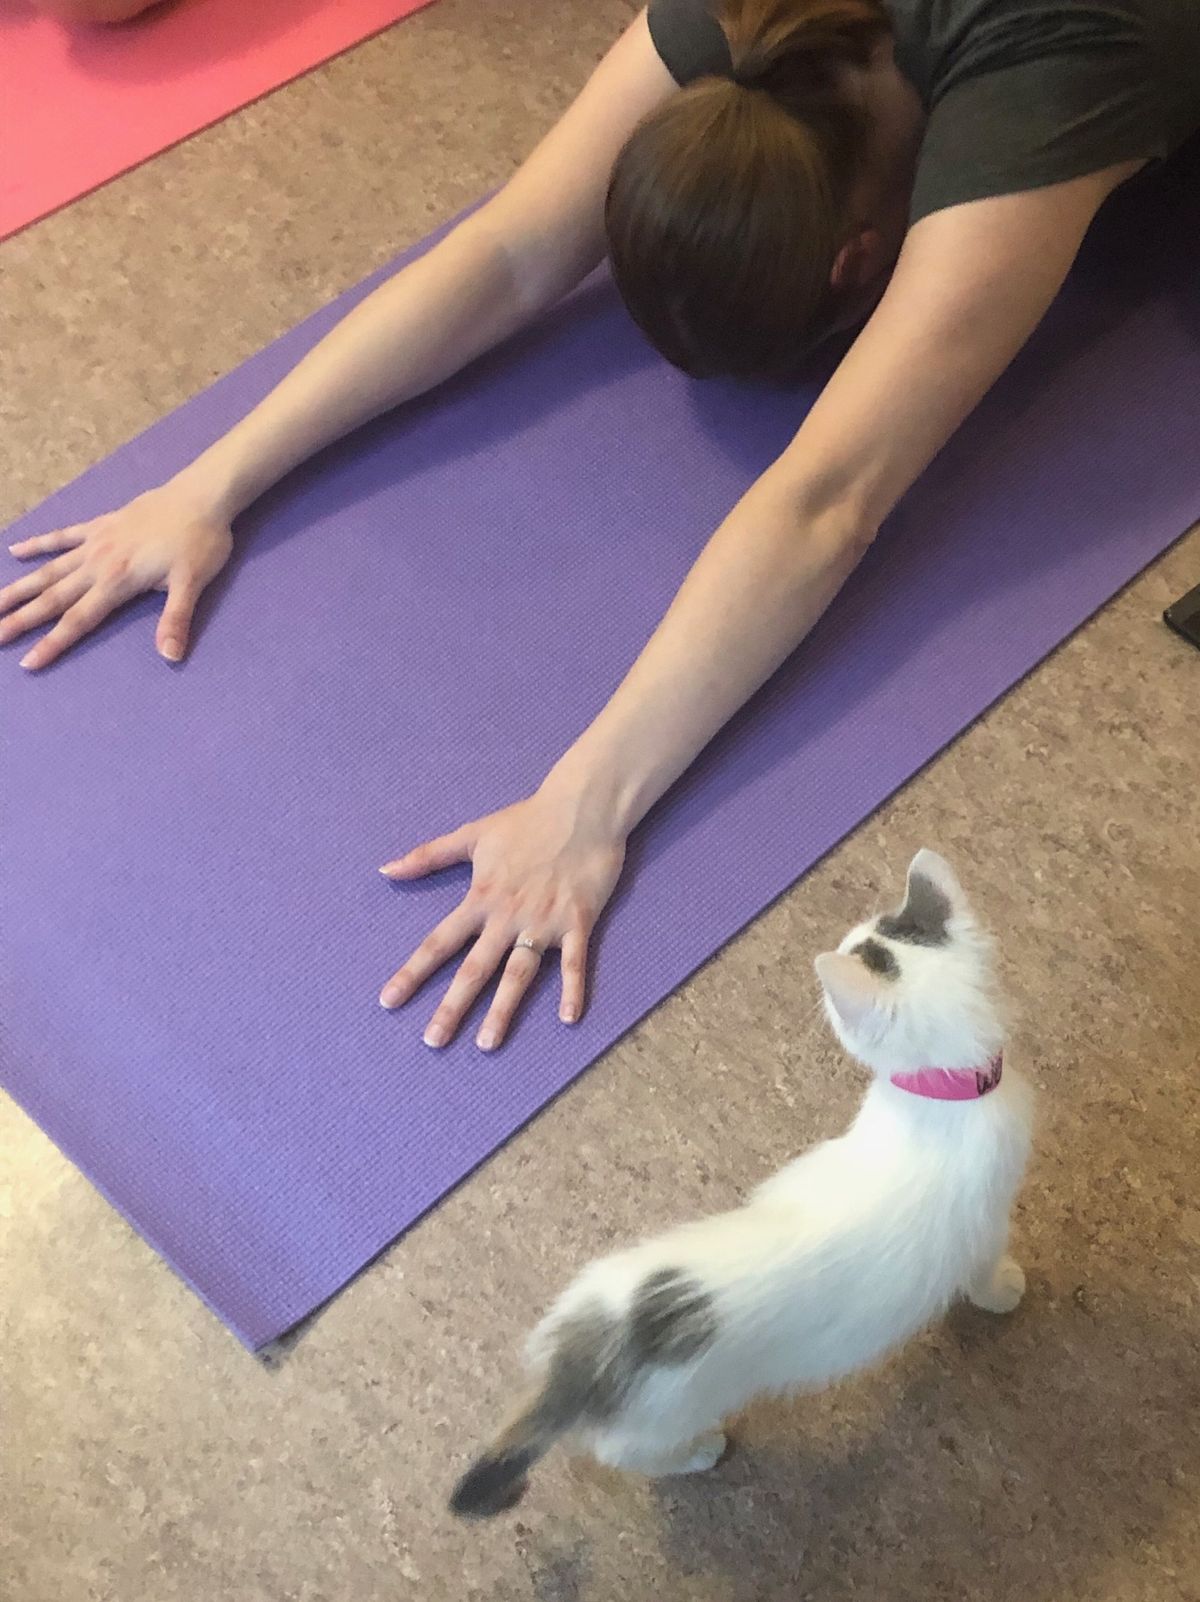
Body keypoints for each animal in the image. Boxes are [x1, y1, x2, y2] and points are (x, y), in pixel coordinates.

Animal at [448, 852, 1031, 1512]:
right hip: (663, 1419)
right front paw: (1004, 1291)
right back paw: (700, 1452)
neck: (943, 1100)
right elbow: (983, 1273)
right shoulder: (982, 1227)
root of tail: (583, 1356)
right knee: (630, 1453)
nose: (831, 948)